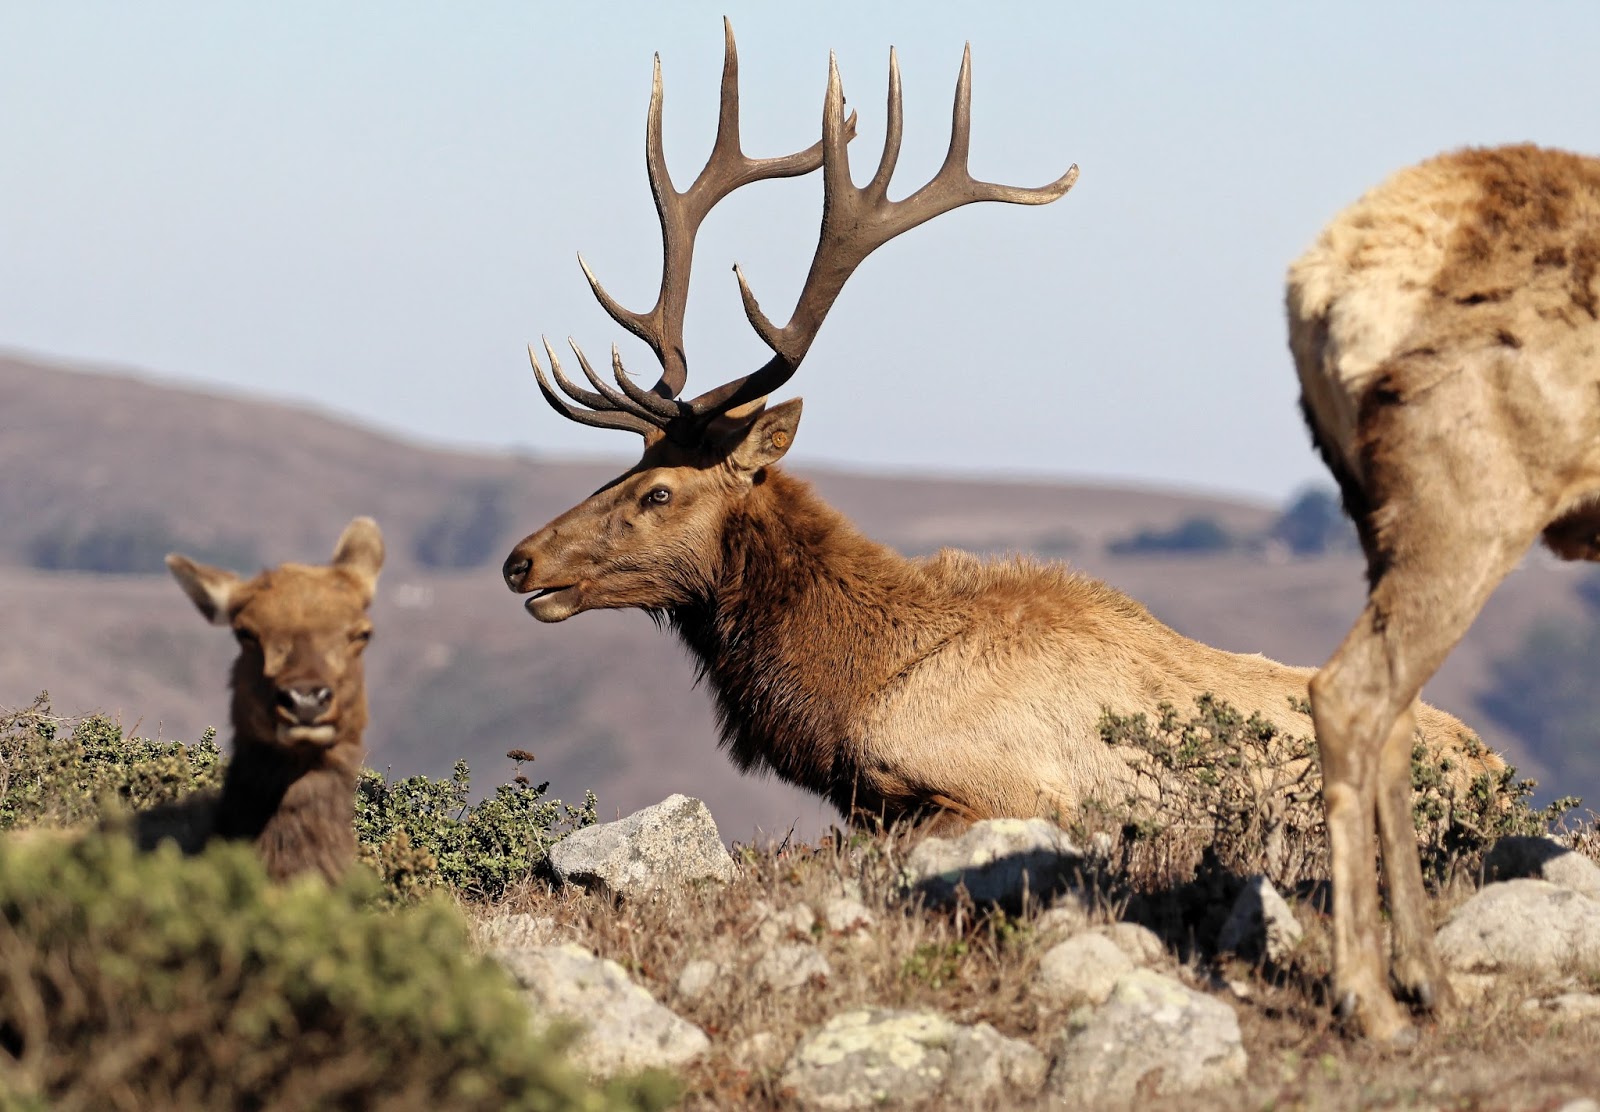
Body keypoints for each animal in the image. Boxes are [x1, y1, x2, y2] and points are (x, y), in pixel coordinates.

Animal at [502, 23, 1503, 843]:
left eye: (658, 490)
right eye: (623, 468)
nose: (520, 560)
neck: (854, 688)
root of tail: (1506, 777)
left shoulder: (1011, 791)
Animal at [1287, 143, 1600, 1042]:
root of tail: (1317, 291)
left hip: (1378, 524)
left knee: (1393, 719)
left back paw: (1431, 983)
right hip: (1467, 516)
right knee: (1349, 692)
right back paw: (1369, 1000)